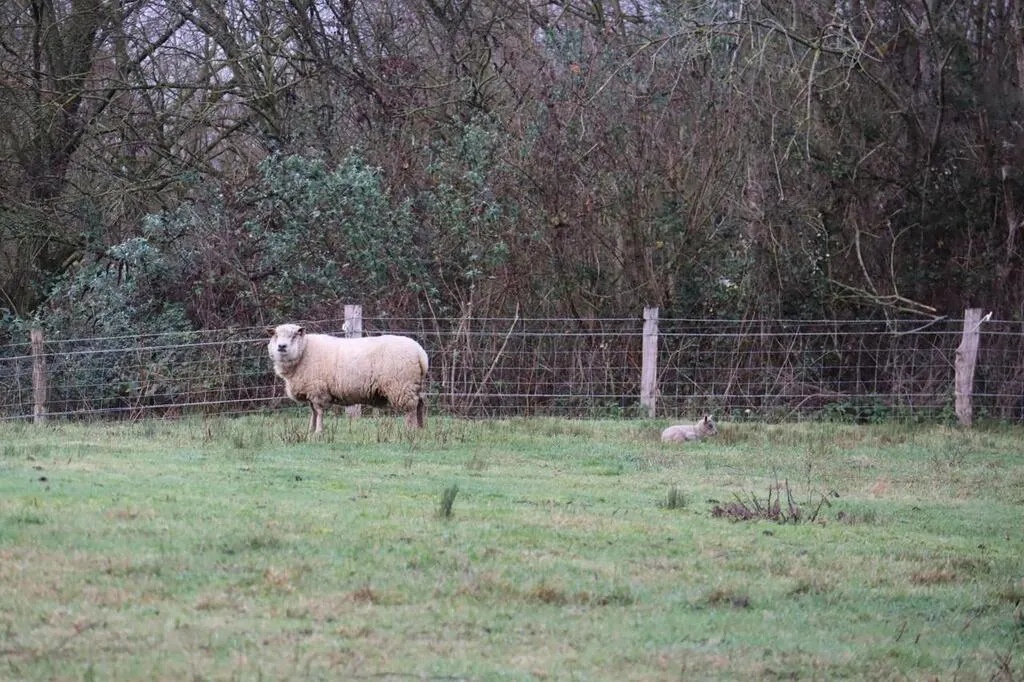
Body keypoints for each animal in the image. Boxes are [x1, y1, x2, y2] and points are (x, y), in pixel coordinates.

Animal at [267, 323, 429, 434]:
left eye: (294, 336)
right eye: (276, 335)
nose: (281, 346)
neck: (304, 351)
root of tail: (420, 353)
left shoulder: (318, 390)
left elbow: (319, 411)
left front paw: (318, 432)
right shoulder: (311, 391)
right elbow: (313, 412)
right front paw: (310, 431)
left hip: (402, 385)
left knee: (410, 408)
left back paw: (410, 430)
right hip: (413, 385)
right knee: (420, 404)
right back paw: (420, 429)